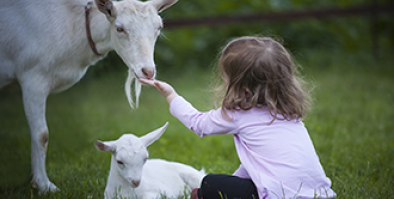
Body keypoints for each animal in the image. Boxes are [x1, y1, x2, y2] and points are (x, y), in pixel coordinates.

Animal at [0, 0, 177, 194]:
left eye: (158, 27)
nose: (148, 71)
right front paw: (44, 185)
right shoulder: (33, 75)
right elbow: (41, 134)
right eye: (119, 28)